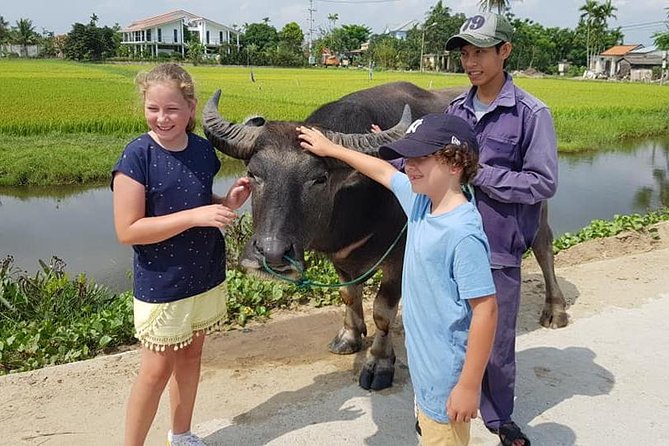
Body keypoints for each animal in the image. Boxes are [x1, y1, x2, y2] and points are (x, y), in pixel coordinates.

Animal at [202, 81, 564, 390]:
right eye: (253, 174)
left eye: (318, 179)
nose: (272, 254)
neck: (358, 198)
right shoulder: (342, 256)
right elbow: (348, 295)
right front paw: (349, 336)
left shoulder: (400, 256)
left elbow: (382, 310)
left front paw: (379, 362)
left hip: (538, 202)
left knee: (543, 248)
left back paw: (555, 310)